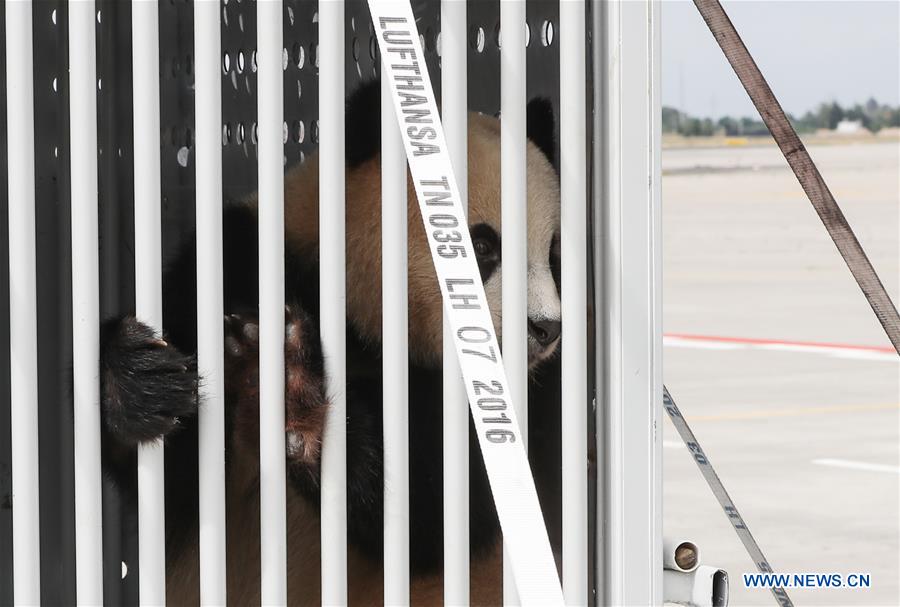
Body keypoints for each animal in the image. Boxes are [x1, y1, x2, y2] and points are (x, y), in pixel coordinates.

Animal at [100, 78, 564, 604]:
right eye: (481, 246)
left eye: (553, 255)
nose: (545, 328)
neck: (359, 326)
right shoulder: (239, 260)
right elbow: (174, 478)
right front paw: (144, 379)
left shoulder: (532, 404)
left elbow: (443, 512)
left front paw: (294, 395)